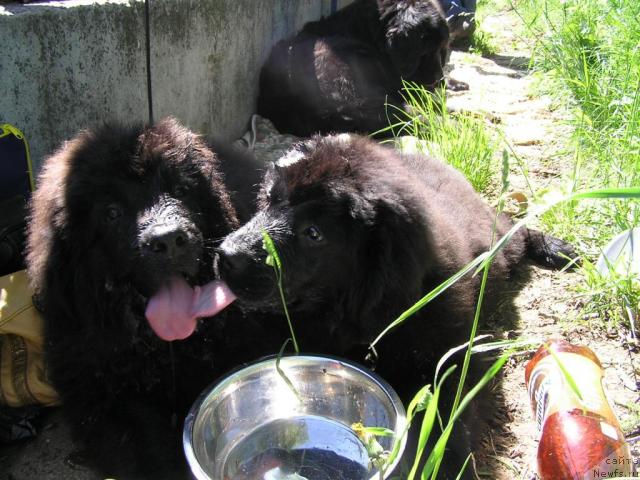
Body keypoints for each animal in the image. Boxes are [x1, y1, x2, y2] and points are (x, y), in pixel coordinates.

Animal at [26, 118, 278, 478]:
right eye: (112, 213)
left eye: (182, 190)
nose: (169, 240)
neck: (163, 349)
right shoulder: (101, 395)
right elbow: (144, 438)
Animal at [218, 133, 576, 478]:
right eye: (269, 199)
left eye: (313, 233)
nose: (226, 255)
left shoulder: (448, 361)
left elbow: (447, 419)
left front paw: (443, 464)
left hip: (501, 241)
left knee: (516, 227)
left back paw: (554, 247)